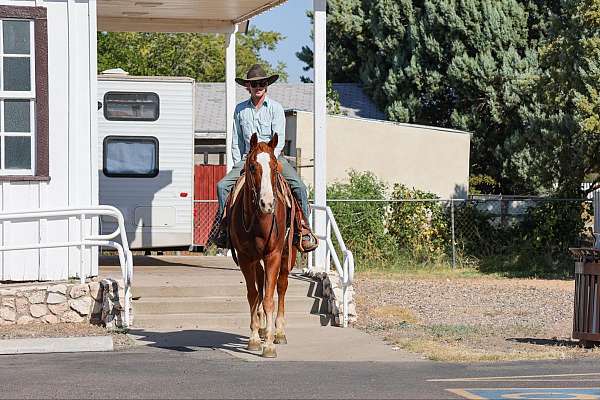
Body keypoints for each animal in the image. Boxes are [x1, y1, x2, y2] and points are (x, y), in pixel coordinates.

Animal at [229, 133, 296, 358]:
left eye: (274, 166)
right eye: (252, 166)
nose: (267, 204)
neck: (260, 221)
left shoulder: (273, 255)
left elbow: (268, 298)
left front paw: (269, 346)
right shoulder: (245, 257)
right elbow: (253, 295)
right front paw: (254, 339)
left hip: (286, 255)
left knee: (281, 287)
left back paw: (279, 332)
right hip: (256, 261)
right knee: (260, 285)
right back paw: (263, 328)